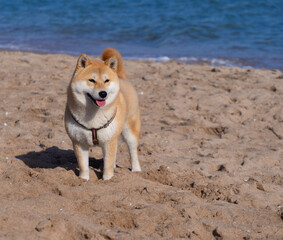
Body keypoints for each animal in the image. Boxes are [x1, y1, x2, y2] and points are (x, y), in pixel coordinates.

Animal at [64, 48, 142, 180]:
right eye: (91, 80)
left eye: (106, 81)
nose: (103, 93)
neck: (93, 116)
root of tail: (121, 77)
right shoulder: (79, 142)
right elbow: (83, 165)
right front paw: (83, 179)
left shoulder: (109, 141)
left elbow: (108, 164)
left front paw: (108, 179)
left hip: (129, 132)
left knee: (133, 151)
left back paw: (136, 170)